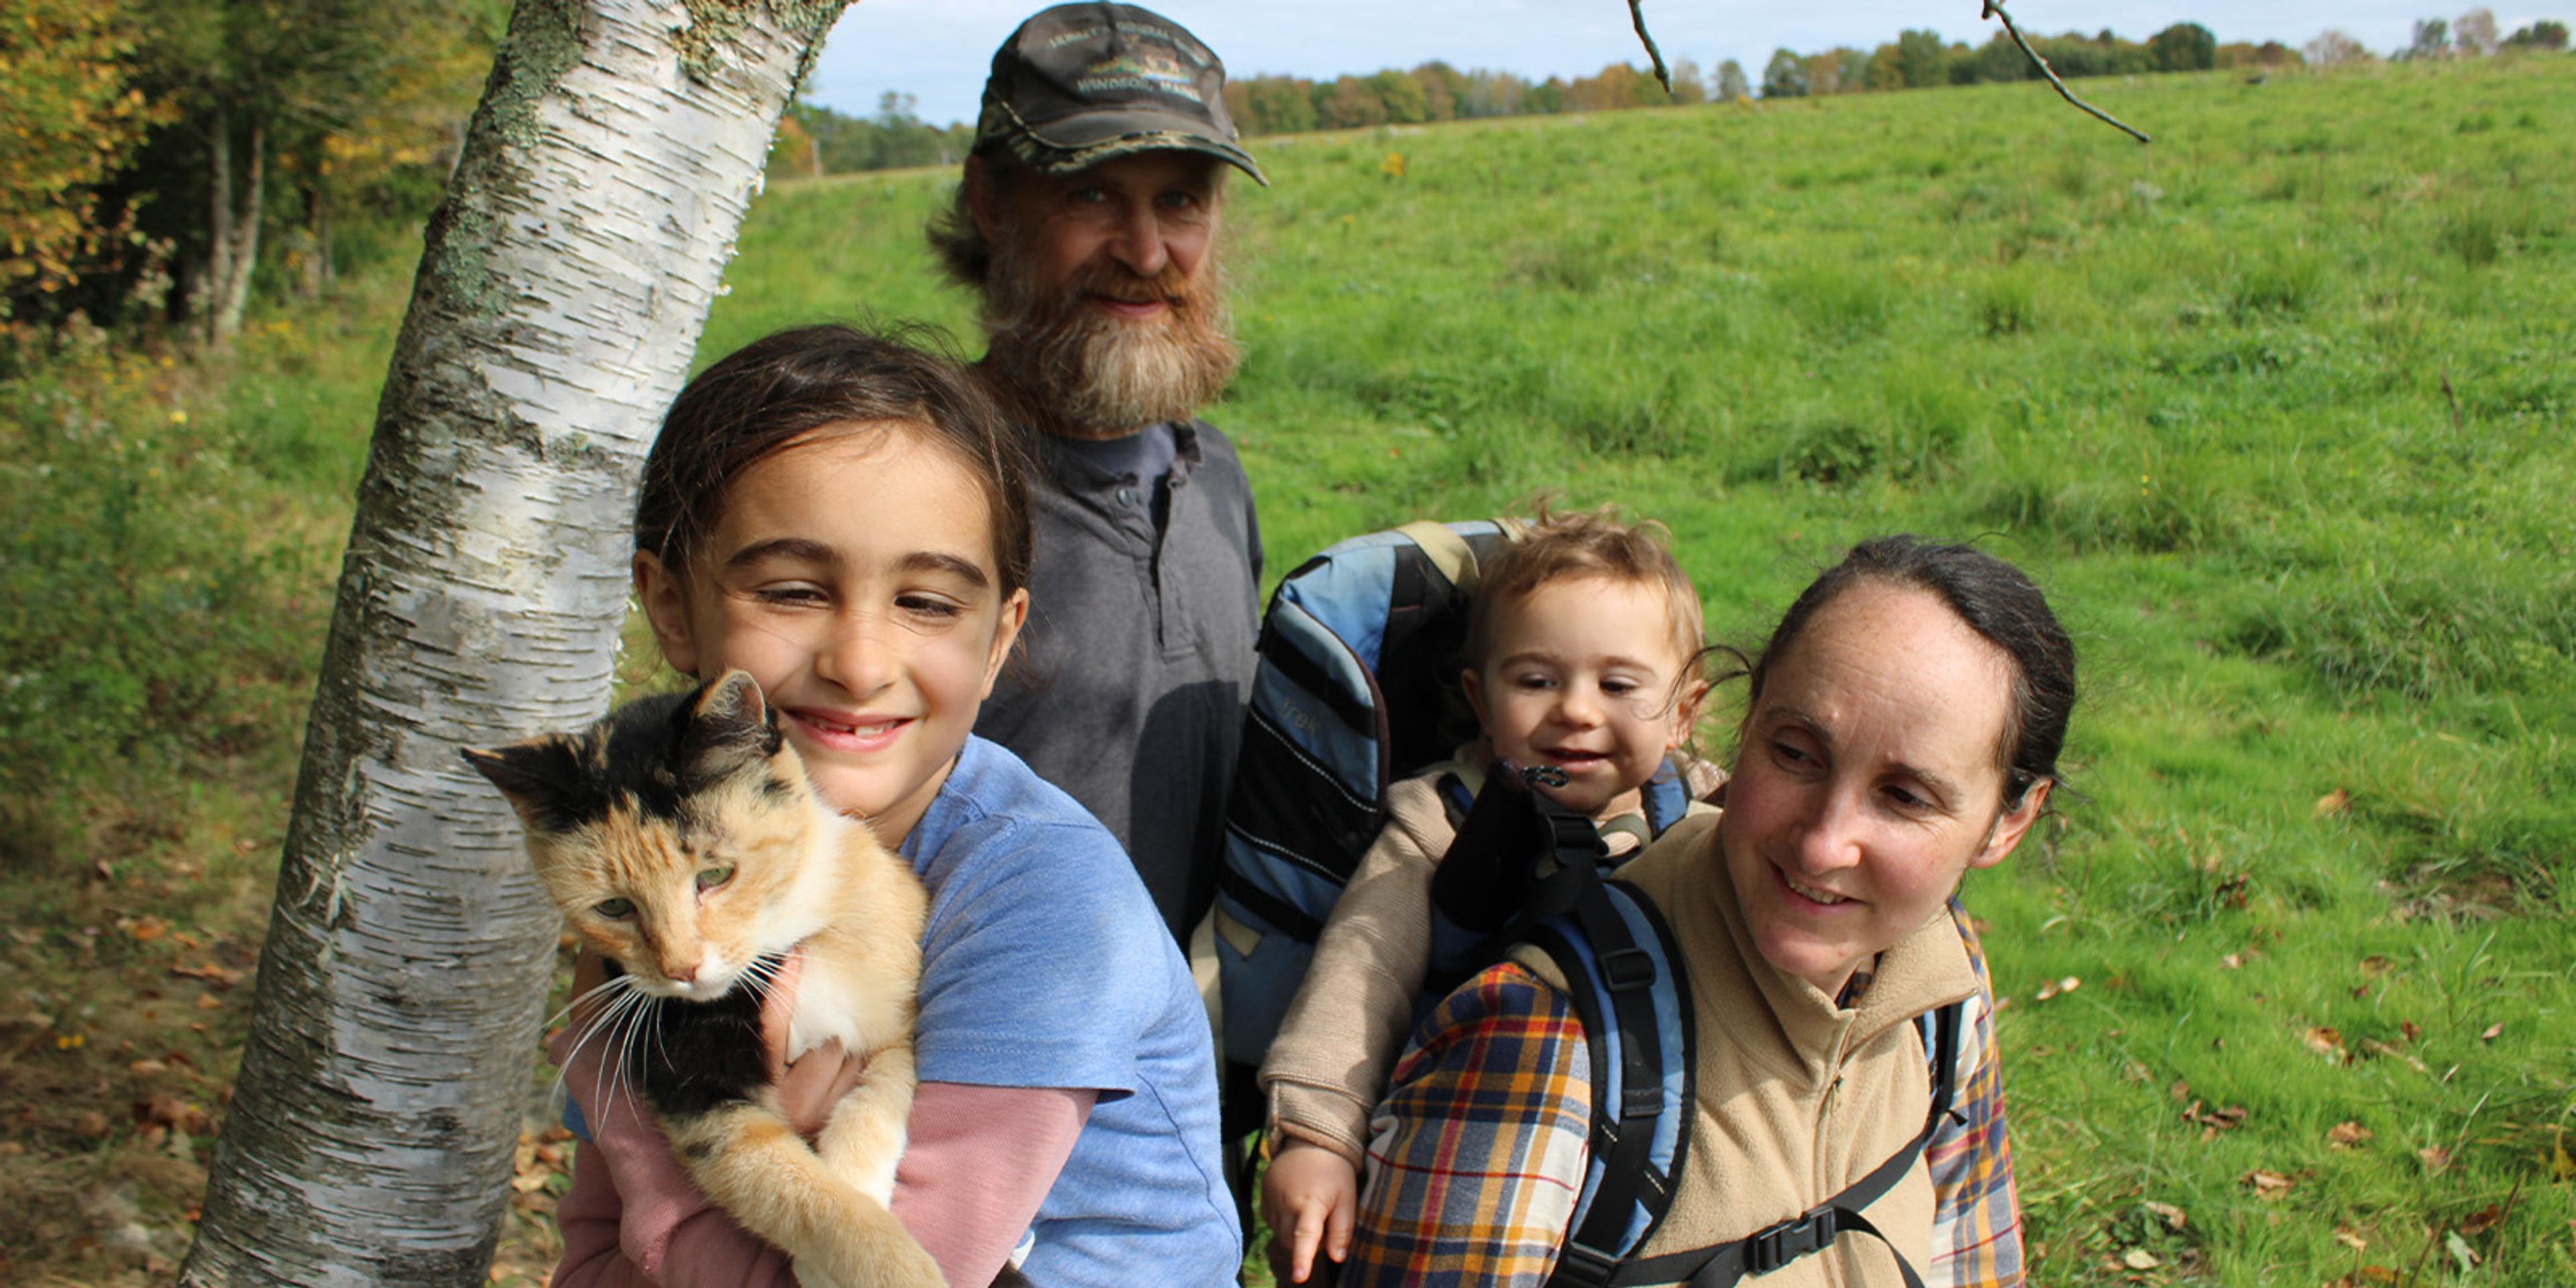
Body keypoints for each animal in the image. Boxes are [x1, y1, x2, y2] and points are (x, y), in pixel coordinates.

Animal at [468, 669, 943, 1283]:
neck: (777, 945)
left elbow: (882, 1095)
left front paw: (858, 1188)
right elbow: (792, 1188)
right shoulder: (693, 1092)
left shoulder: (892, 1016)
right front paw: (886, 1263)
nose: (681, 969)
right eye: (613, 908)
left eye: (715, 875)